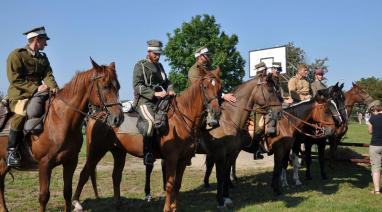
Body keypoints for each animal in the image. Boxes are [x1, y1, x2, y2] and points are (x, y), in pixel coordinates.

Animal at [0, 58, 122, 212]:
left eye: (118, 87)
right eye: (105, 86)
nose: (118, 118)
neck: (60, 120)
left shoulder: (70, 162)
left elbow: (67, 192)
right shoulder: (44, 164)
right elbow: (43, 196)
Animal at [72, 66, 222, 212]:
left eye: (220, 87)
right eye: (205, 86)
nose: (216, 112)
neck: (181, 118)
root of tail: (96, 116)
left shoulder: (183, 160)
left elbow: (177, 185)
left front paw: (174, 207)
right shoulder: (172, 158)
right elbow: (169, 184)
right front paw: (167, 208)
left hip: (119, 152)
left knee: (116, 176)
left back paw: (118, 204)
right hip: (96, 152)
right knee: (84, 173)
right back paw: (76, 203)